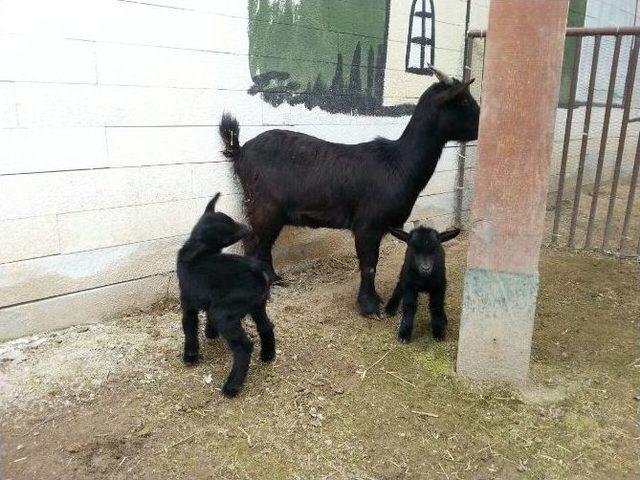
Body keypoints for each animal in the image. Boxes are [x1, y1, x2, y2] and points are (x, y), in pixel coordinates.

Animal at [218, 65, 478, 316]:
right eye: (464, 100)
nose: (480, 125)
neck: (398, 163)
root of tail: (239, 151)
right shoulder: (367, 225)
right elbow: (369, 265)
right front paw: (370, 306)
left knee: (263, 243)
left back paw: (275, 279)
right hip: (263, 207)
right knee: (253, 242)